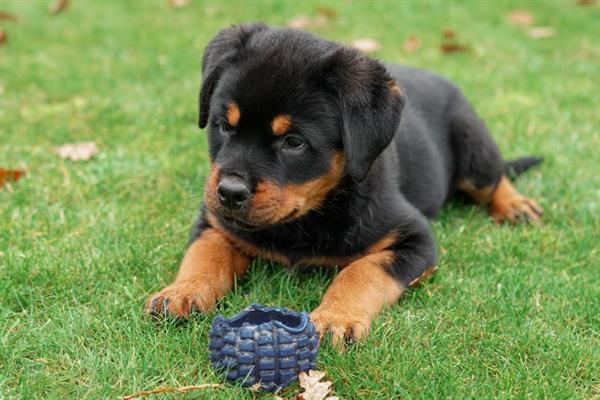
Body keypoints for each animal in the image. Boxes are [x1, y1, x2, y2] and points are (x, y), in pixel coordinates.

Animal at [146, 22, 544, 346]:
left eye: (294, 142)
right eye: (223, 126)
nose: (229, 193)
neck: (304, 221)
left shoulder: (415, 239)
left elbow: (361, 271)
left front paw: (335, 318)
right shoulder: (215, 222)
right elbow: (204, 254)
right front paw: (181, 292)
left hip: (472, 144)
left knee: (493, 178)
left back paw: (516, 206)